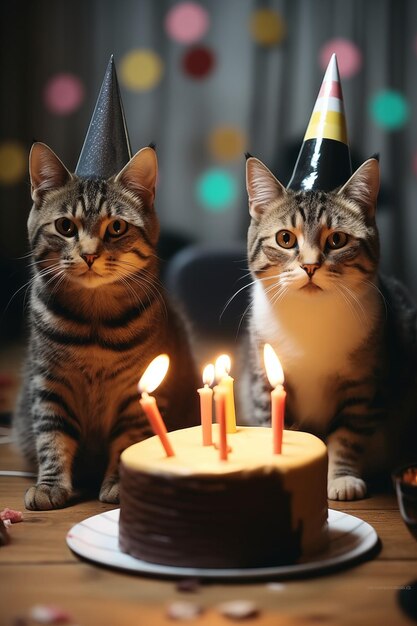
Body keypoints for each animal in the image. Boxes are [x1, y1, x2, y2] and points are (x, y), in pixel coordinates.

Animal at [13, 140, 199, 508]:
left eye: (116, 228)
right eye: (65, 227)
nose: (89, 254)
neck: (93, 320)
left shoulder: (137, 389)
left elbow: (128, 439)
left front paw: (118, 482)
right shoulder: (50, 383)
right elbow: (52, 436)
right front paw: (50, 484)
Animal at [240, 155, 416, 498]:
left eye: (337, 239)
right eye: (285, 238)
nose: (310, 266)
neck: (310, 315)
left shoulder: (364, 384)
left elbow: (348, 435)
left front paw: (341, 478)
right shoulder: (263, 377)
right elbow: (273, 422)